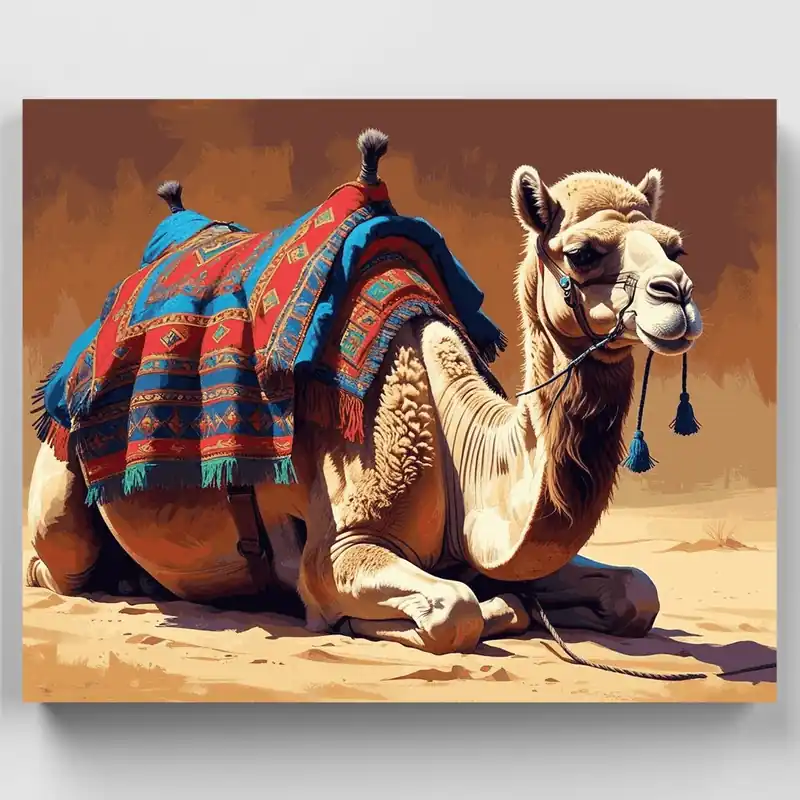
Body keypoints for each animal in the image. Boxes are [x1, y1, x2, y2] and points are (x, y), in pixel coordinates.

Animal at [26, 131, 703, 655]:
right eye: (583, 252)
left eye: (675, 245)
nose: (676, 294)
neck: (462, 445)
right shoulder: (342, 547)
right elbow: (455, 610)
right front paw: (486, 609)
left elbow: (637, 591)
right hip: (59, 489)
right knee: (54, 564)